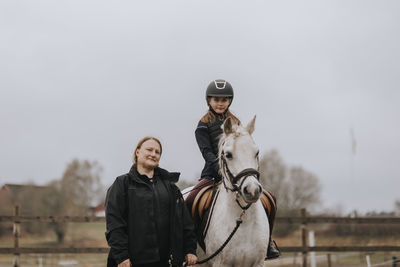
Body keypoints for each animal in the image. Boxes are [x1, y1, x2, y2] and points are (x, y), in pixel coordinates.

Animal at [186, 116, 270, 267]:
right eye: (228, 155)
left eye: (257, 152)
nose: (252, 190)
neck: (243, 218)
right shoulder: (221, 263)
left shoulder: (259, 262)